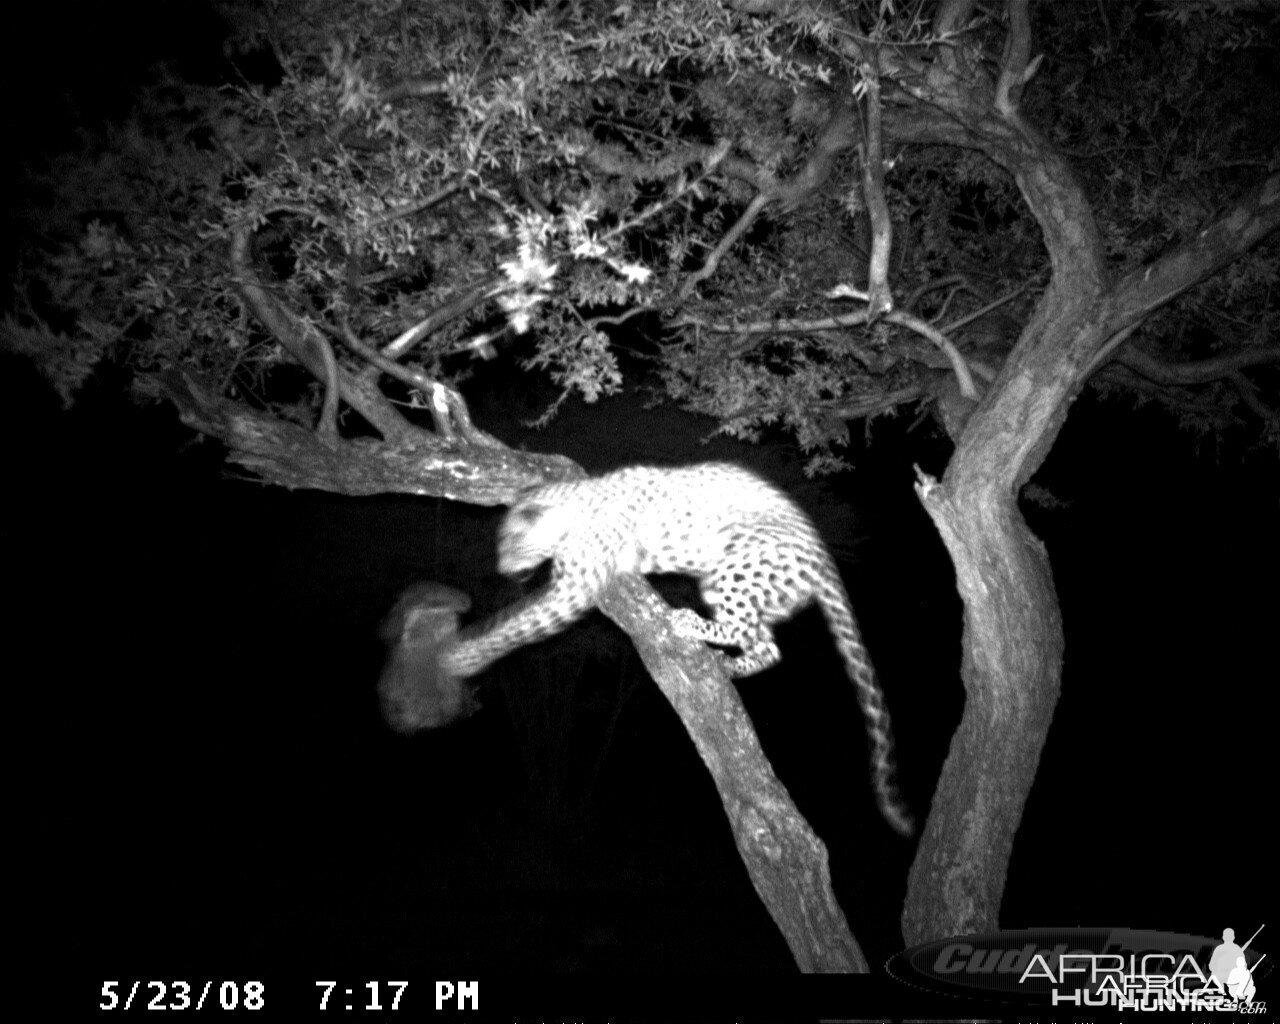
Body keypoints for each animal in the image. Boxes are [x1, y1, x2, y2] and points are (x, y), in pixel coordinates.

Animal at [445, 460, 916, 834]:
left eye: (510, 543)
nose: (502, 569)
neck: (573, 508)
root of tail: (823, 557)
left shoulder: (572, 588)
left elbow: (518, 625)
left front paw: (461, 657)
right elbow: (512, 617)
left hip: (733, 567)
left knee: (750, 631)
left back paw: (687, 623)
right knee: (766, 645)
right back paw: (730, 665)